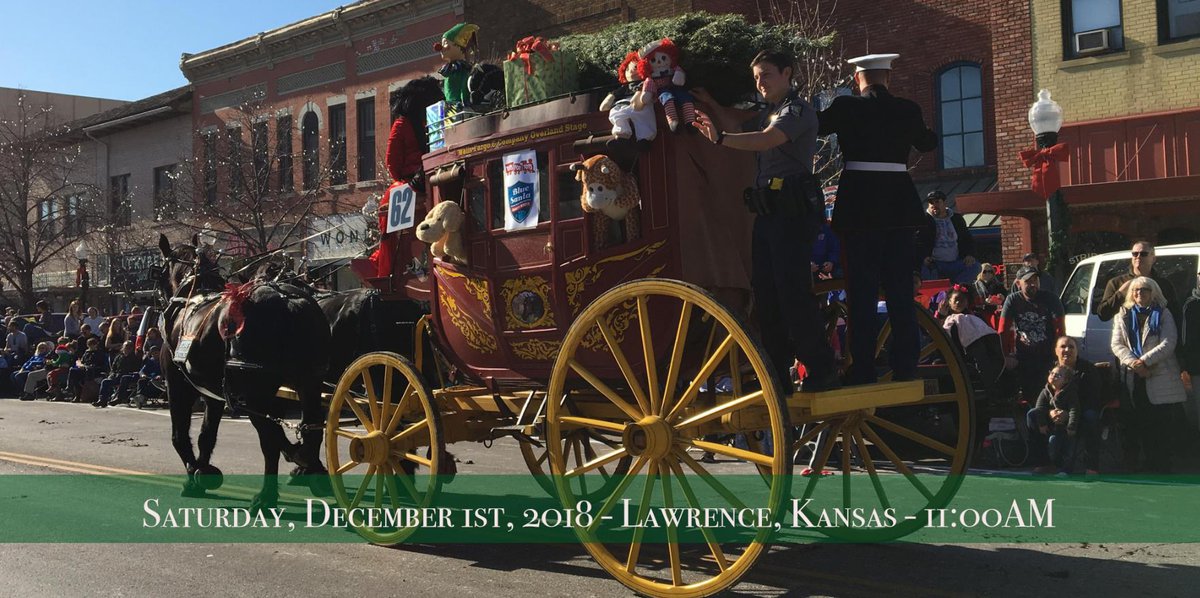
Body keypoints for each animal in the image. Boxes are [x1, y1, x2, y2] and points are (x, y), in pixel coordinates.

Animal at [157, 234, 333, 509]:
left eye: (160, 270)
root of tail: (287, 300)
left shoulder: (177, 385)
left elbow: (179, 435)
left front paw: (193, 474)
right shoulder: (213, 394)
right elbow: (207, 434)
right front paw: (203, 471)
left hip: (253, 394)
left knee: (271, 438)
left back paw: (269, 492)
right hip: (307, 383)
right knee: (309, 427)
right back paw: (310, 469)